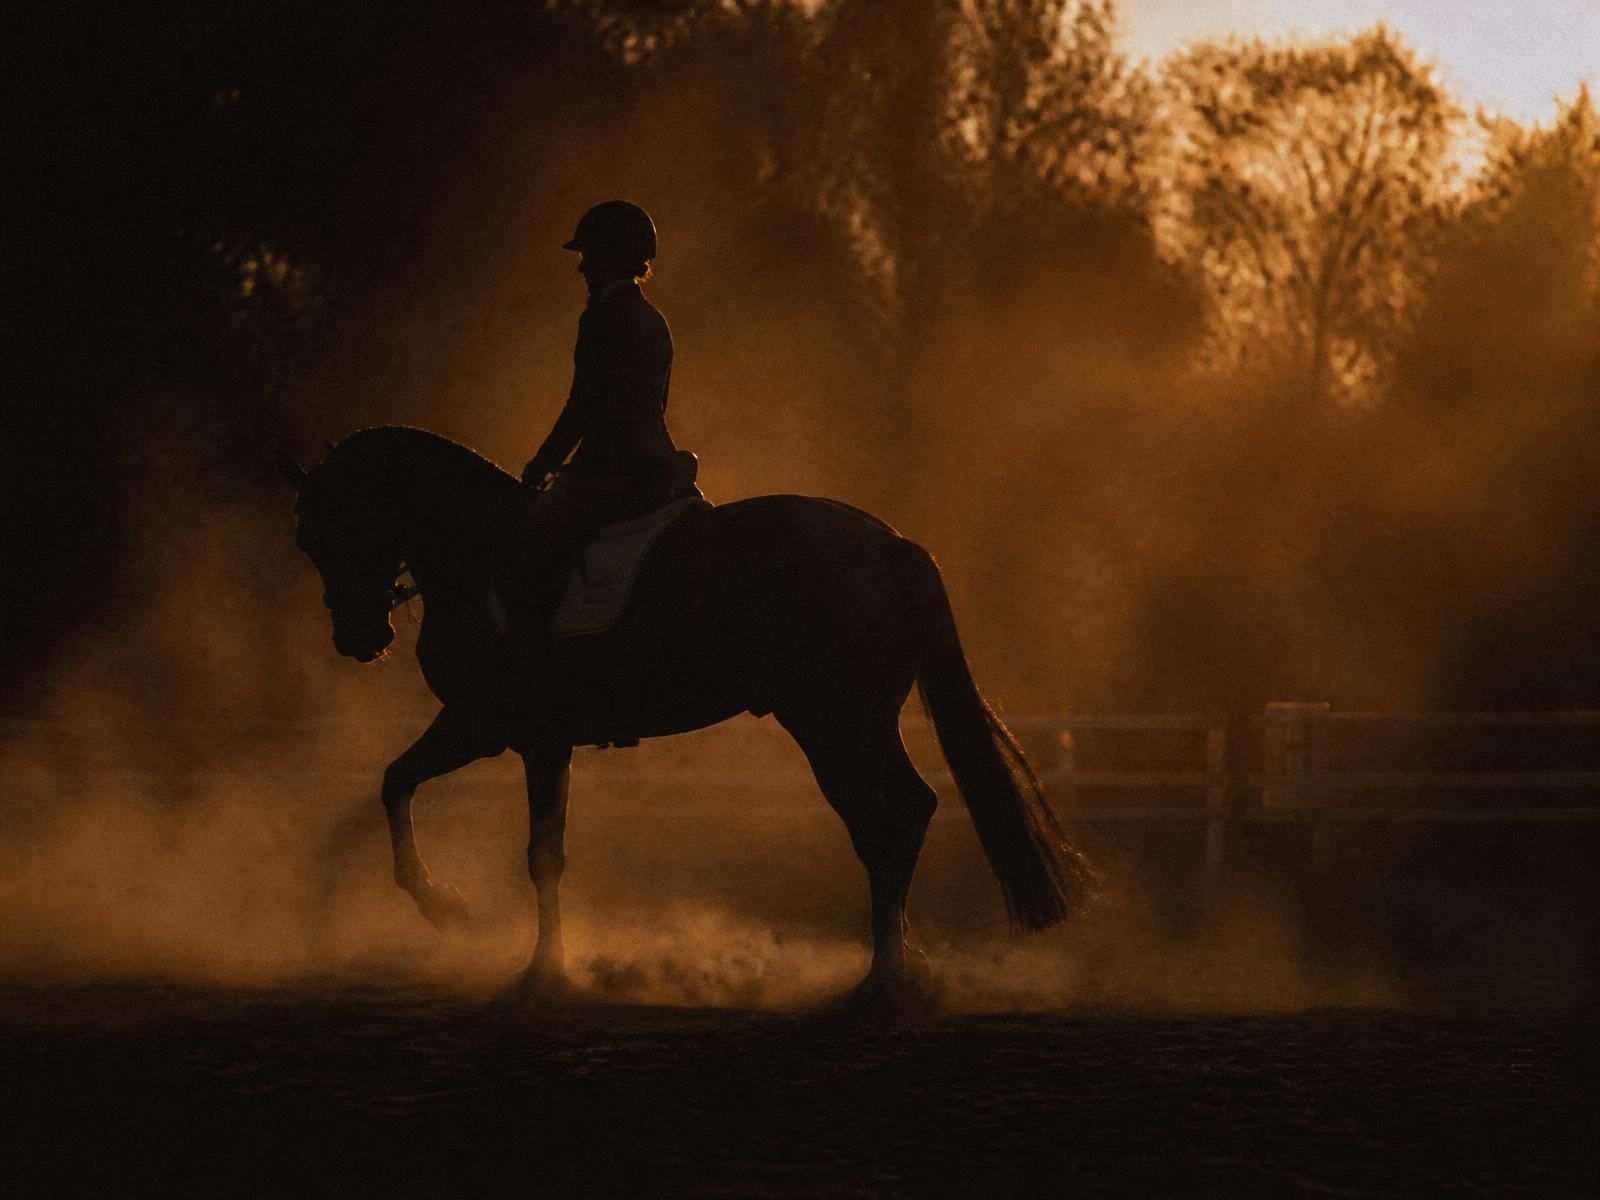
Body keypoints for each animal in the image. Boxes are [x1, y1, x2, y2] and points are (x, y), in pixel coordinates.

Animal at [279, 426, 1091, 1011]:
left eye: (320, 532)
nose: (357, 637)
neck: (477, 549)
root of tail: (889, 543)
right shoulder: (515, 735)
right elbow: (413, 791)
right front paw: (467, 923)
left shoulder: (500, 728)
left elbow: (521, 844)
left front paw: (505, 949)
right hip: (864, 722)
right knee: (911, 810)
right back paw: (906, 966)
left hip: (826, 726)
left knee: (879, 825)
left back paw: (881, 979)